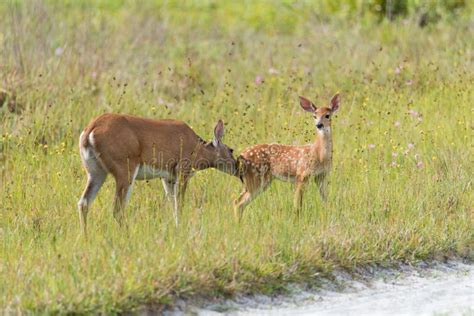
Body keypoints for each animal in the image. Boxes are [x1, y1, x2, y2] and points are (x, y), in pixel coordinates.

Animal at [77, 113, 237, 235]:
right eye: (231, 150)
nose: (237, 168)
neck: (197, 149)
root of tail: (90, 130)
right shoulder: (183, 169)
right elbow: (180, 203)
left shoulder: (168, 177)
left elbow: (173, 204)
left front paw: (177, 227)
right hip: (125, 169)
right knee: (117, 209)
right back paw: (127, 234)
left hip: (95, 172)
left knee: (84, 203)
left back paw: (85, 236)